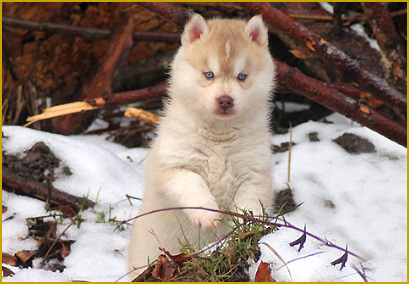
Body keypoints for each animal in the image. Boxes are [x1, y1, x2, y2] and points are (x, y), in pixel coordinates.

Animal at [127, 13, 274, 280]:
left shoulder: (254, 174)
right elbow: (193, 183)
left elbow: (248, 206)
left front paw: (242, 231)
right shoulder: (171, 167)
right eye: (209, 74)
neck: (219, 136)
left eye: (242, 76)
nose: (225, 100)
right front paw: (206, 213)